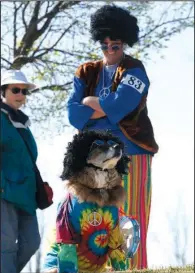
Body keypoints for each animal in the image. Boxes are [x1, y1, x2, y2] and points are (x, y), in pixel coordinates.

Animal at [43, 130, 130, 272]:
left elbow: (116, 251)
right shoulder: (66, 230)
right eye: (97, 144)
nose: (117, 146)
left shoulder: (114, 231)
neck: (98, 190)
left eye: (112, 142)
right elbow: (68, 256)